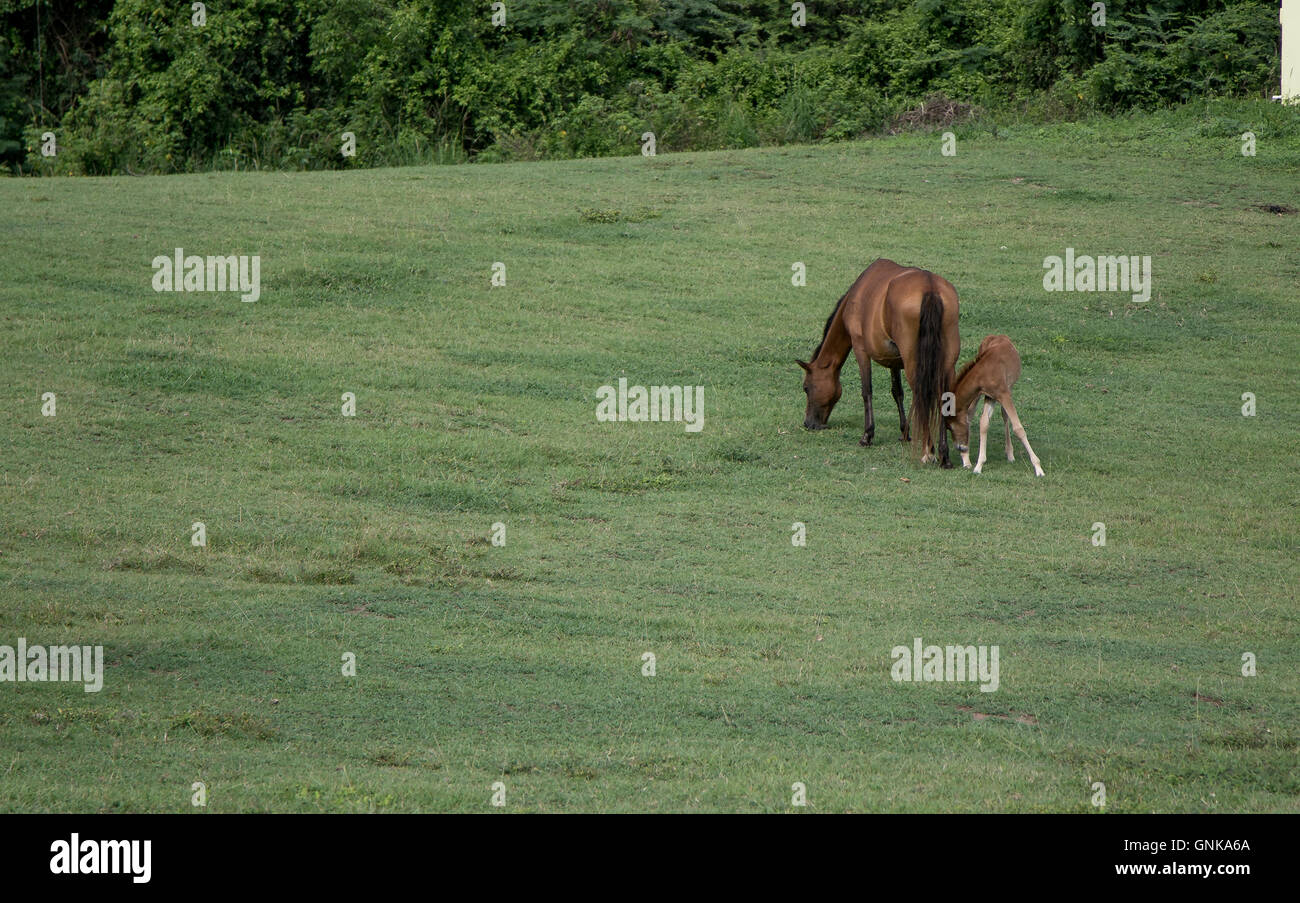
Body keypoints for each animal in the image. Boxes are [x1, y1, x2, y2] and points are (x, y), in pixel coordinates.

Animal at [797, 258, 961, 468]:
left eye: (806, 388)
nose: (809, 424)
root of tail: (930, 288)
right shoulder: (894, 361)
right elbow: (897, 392)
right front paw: (904, 432)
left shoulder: (860, 349)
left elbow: (867, 392)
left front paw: (867, 435)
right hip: (947, 364)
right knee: (942, 397)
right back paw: (944, 455)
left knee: (921, 395)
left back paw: (929, 451)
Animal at [945, 335, 1045, 476]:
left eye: (950, 426)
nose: (959, 447)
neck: (983, 373)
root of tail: (997, 335)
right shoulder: (989, 396)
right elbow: (983, 423)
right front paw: (978, 465)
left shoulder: (1003, 394)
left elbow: (1018, 428)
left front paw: (1038, 467)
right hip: (982, 395)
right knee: (972, 412)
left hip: (1008, 388)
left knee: (1004, 414)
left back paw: (1010, 453)